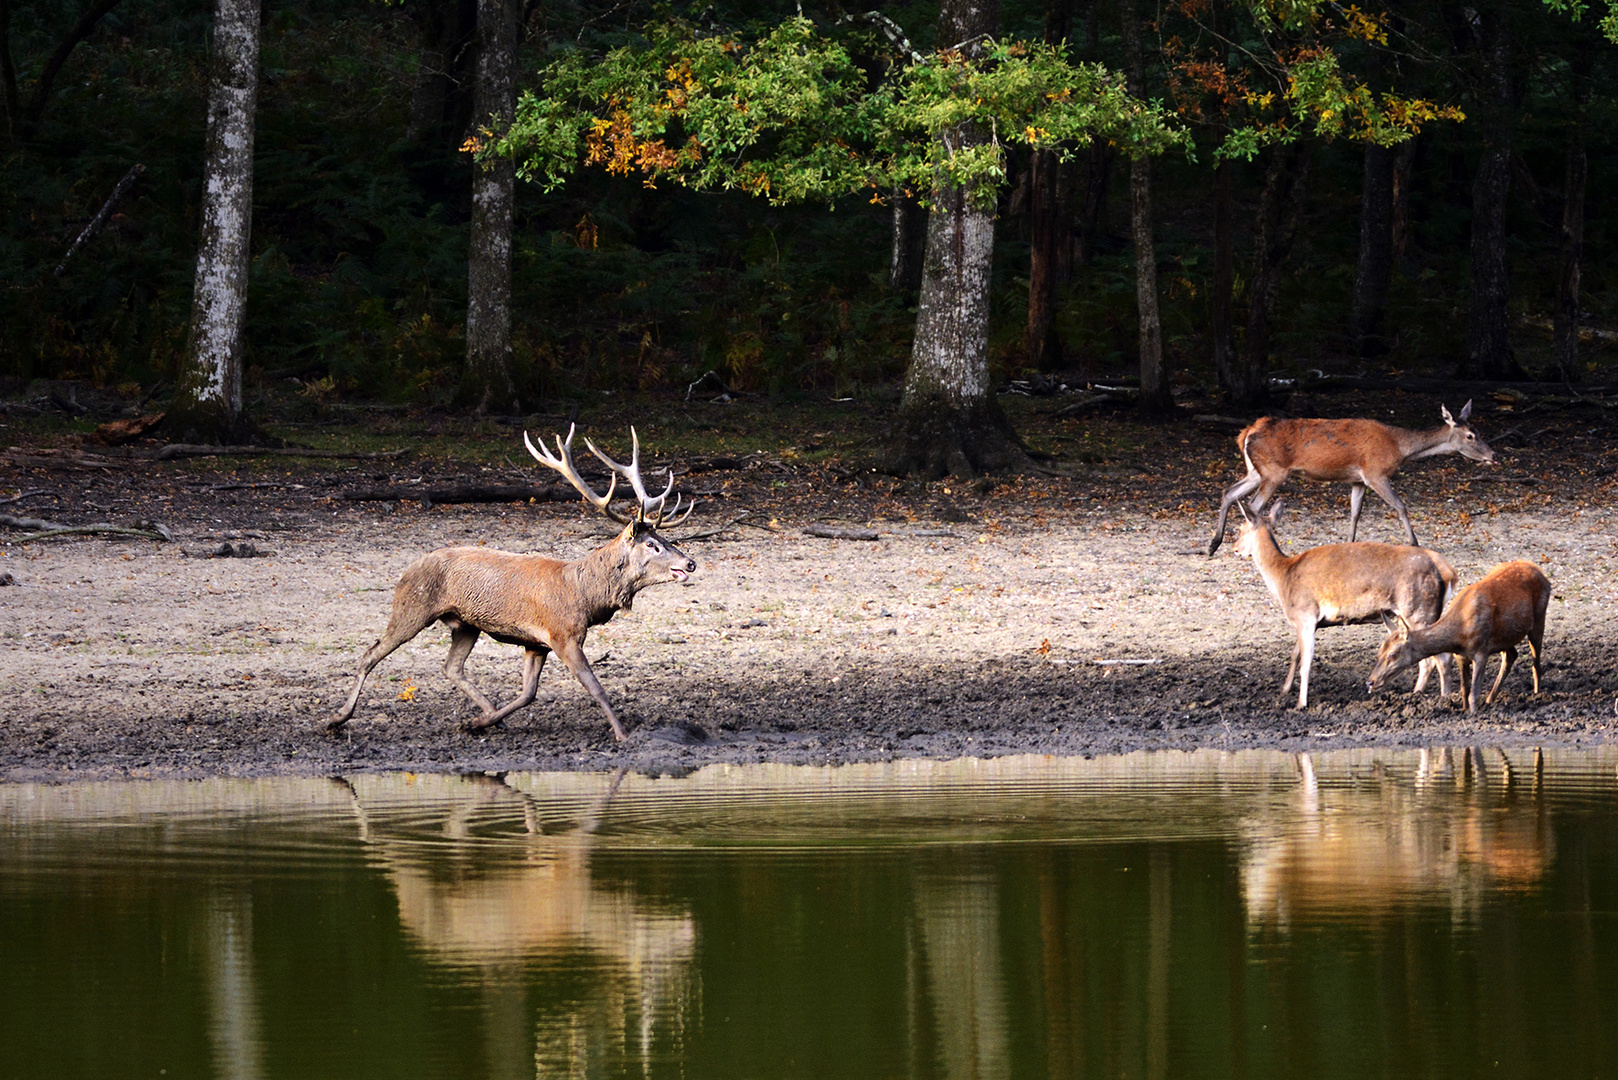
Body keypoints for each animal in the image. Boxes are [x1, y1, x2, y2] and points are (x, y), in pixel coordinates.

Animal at [323, 427, 695, 738]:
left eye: (666, 538)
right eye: (652, 544)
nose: (689, 562)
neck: (585, 597)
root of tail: (406, 570)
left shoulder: (537, 643)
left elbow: (528, 693)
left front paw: (479, 721)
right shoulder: (562, 634)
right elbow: (595, 686)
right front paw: (623, 734)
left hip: (465, 624)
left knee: (451, 667)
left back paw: (486, 716)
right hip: (412, 607)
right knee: (370, 653)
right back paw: (337, 717)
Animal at [1210, 404, 1495, 557]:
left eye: (1479, 431)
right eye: (1470, 435)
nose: (1493, 455)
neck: (1400, 447)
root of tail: (1246, 433)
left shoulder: (1358, 480)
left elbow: (1355, 512)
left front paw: (1349, 543)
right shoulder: (1376, 473)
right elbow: (1400, 506)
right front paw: (1414, 542)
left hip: (1255, 471)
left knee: (1229, 492)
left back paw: (1214, 544)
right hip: (1273, 471)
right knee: (1253, 506)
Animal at [1365, 563, 1553, 712]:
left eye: (1393, 654)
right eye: (1378, 653)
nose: (1370, 682)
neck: (1459, 636)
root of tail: (1542, 573)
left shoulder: (1481, 652)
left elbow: (1473, 694)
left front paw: (1473, 714)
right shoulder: (1461, 656)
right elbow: (1464, 690)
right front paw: (1464, 710)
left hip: (1539, 617)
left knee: (1536, 662)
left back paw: (1536, 695)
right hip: (1505, 636)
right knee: (1511, 655)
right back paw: (1490, 699)